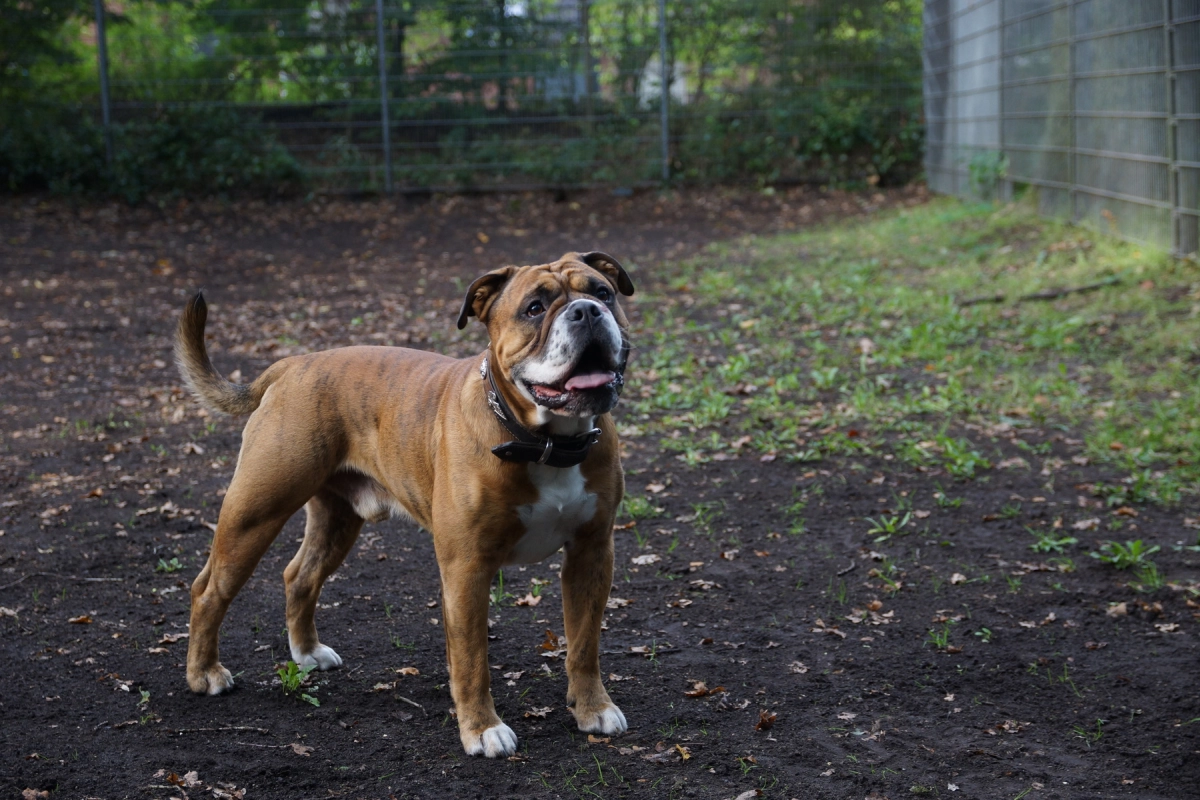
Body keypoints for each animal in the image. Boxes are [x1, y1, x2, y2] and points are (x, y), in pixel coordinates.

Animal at [175, 250, 638, 758]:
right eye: (534, 308)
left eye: (603, 293)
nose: (587, 312)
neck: (543, 441)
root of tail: (291, 365)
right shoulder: (466, 568)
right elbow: (472, 659)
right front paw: (482, 729)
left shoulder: (591, 554)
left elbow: (584, 645)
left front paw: (593, 708)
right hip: (254, 514)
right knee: (209, 590)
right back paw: (204, 674)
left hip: (336, 521)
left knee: (300, 576)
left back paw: (307, 653)